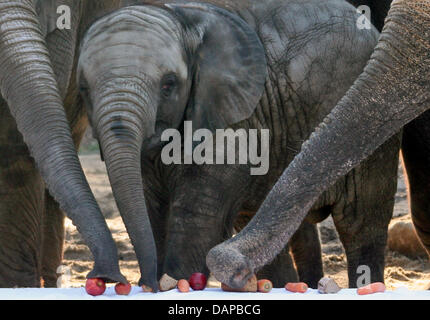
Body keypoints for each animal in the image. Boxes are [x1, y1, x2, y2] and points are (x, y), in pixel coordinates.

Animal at [77, 0, 400, 288]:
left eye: (169, 85)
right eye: (84, 89)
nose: (117, 280)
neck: (181, 17)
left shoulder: (235, 119)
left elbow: (195, 217)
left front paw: (172, 281)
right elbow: (152, 209)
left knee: (361, 224)